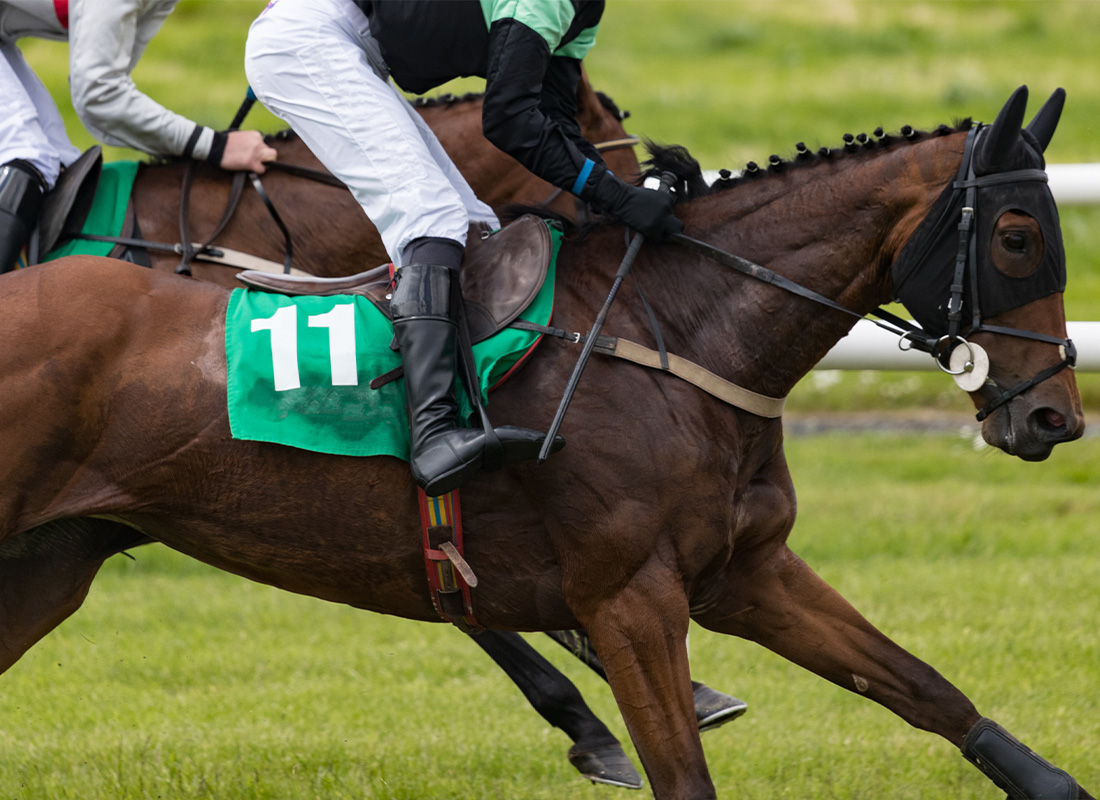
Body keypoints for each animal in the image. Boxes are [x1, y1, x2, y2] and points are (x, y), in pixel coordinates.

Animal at [0, 84, 1086, 796]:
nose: (1053, 417)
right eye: (1018, 236)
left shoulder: (744, 570)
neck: (673, 330)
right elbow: (676, 770)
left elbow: (928, 690)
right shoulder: (630, 596)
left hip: (51, 562)